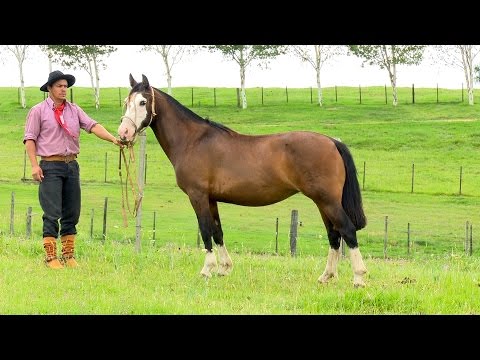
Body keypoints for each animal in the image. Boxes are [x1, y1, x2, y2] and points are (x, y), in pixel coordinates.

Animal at [117, 74, 368, 288]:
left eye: (142, 102)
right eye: (126, 101)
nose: (124, 133)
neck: (193, 141)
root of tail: (332, 141)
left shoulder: (198, 196)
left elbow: (205, 230)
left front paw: (207, 270)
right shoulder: (211, 199)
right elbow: (217, 231)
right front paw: (224, 268)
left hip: (327, 201)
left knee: (347, 230)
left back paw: (359, 278)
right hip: (323, 203)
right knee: (334, 234)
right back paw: (326, 276)